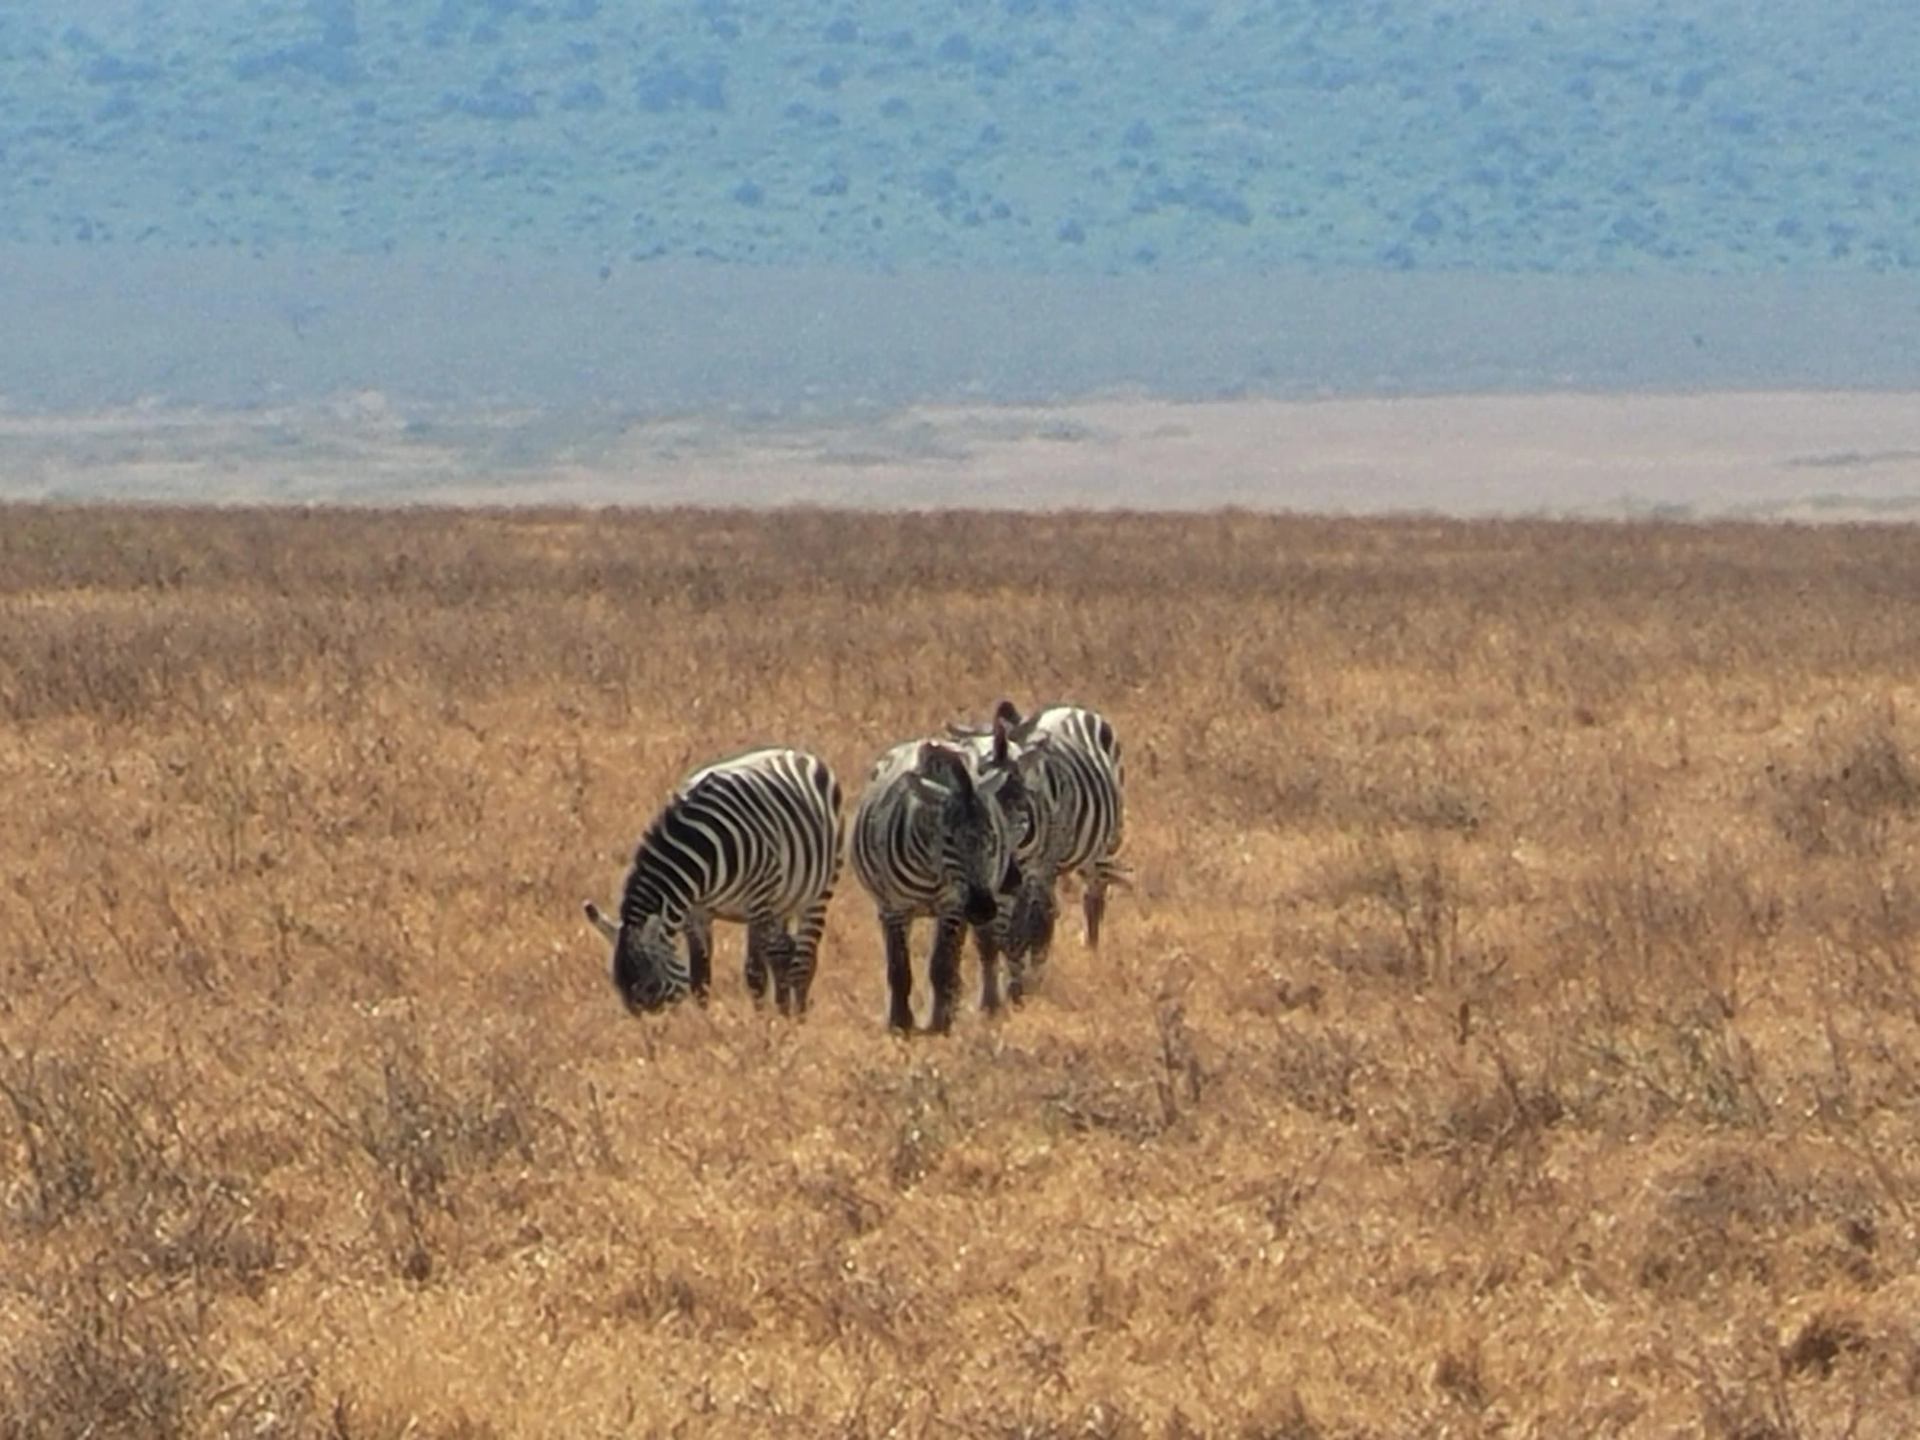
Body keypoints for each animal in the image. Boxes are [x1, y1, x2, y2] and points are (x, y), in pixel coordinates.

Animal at [582, 746, 844, 1017]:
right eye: (617, 988)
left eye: (653, 987)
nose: (659, 1027)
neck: (698, 847)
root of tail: (796, 752)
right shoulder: (695, 912)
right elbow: (700, 976)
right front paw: (705, 1020)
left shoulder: (758, 899)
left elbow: (757, 973)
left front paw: (765, 1022)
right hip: (782, 901)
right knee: (786, 951)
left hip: (817, 892)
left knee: (801, 959)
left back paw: (795, 1017)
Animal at [850, 721, 1042, 1034]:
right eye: (948, 838)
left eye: (992, 837)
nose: (983, 907)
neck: (933, 865)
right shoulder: (895, 907)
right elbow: (899, 967)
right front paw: (901, 1024)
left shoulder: (953, 906)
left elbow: (943, 965)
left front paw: (940, 1022)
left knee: (982, 948)